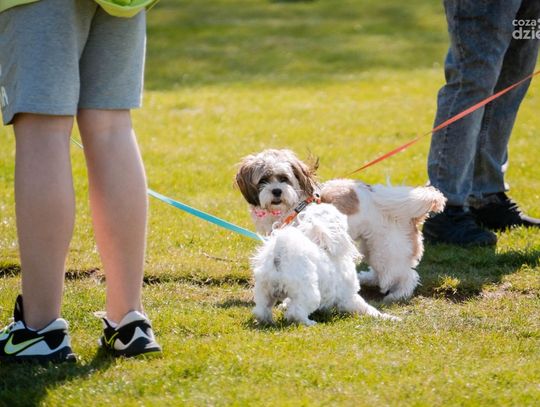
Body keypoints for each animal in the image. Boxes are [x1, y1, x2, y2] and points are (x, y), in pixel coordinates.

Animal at [236, 149, 446, 302]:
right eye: (263, 180)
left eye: (284, 178)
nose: (277, 191)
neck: (293, 205)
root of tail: (407, 212)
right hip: (374, 246)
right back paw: (369, 278)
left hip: (389, 248)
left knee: (406, 275)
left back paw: (397, 294)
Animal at [251, 203, 397, 325]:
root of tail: (280, 254)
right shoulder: (349, 297)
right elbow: (368, 309)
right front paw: (389, 317)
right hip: (310, 293)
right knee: (295, 313)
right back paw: (309, 323)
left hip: (264, 290)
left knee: (262, 309)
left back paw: (267, 321)